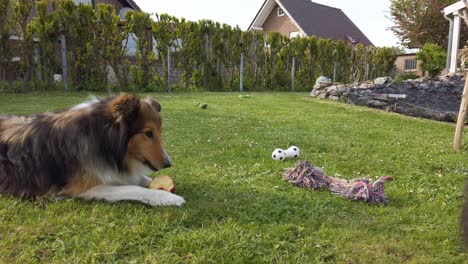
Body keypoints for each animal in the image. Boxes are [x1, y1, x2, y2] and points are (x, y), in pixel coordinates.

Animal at [0, 93, 186, 206]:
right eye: (148, 133)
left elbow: (141, 179)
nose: (168, 164)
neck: (101, 138)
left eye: (160, 132)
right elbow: (133, 188)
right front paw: (168, 197)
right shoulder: (85, 188)